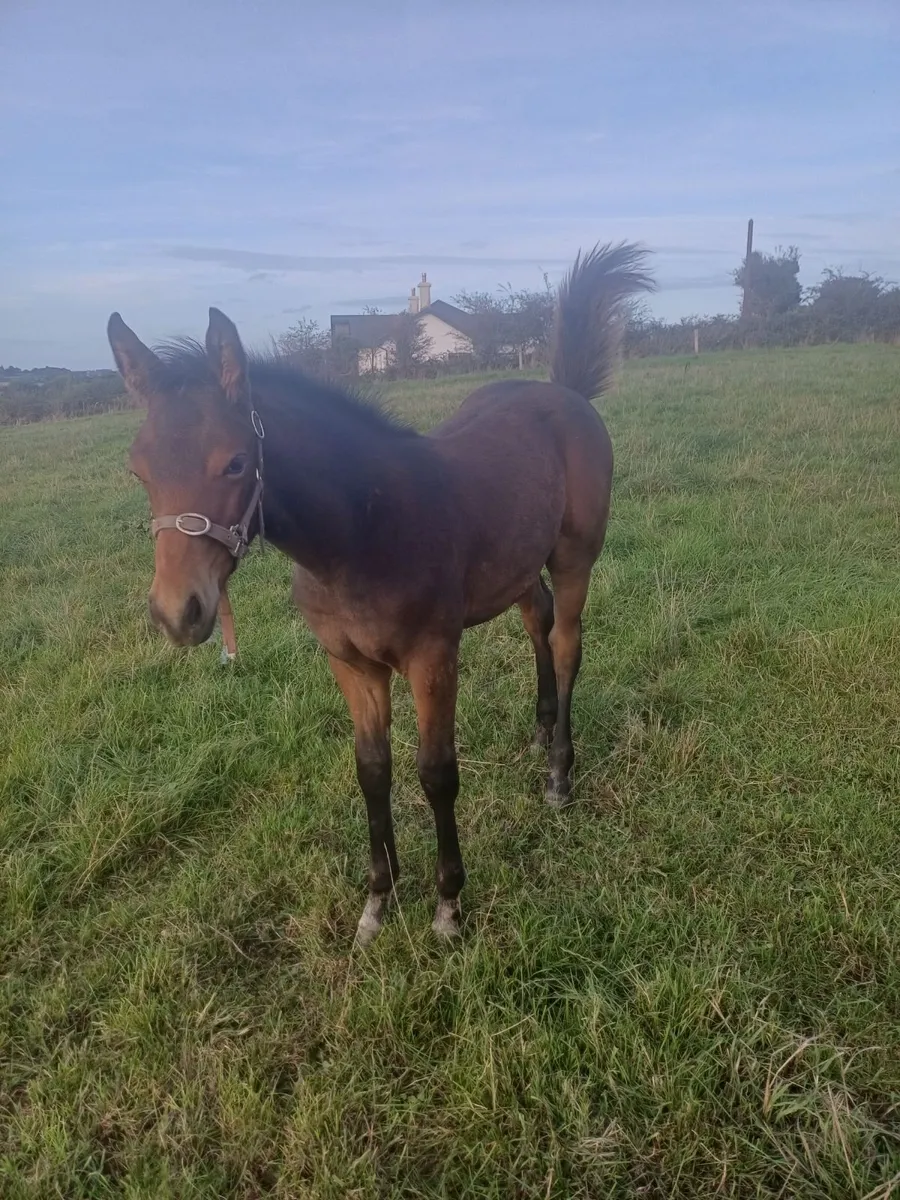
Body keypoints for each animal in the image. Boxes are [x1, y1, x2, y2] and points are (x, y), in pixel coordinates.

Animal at [107, 242, 654, 944]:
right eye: (138, 469)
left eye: (234, 462)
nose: (179, 612)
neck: (362, 530)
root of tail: (564, 393)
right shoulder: (350, 663)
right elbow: (372, 769)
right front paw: (376, 902)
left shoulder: (432, 656)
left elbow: (436, 772)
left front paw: (448, 907)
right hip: (515, 566)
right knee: (538, 619)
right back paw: (539, 733)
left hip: (575, 556)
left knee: (565, 643)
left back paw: (559, 775)